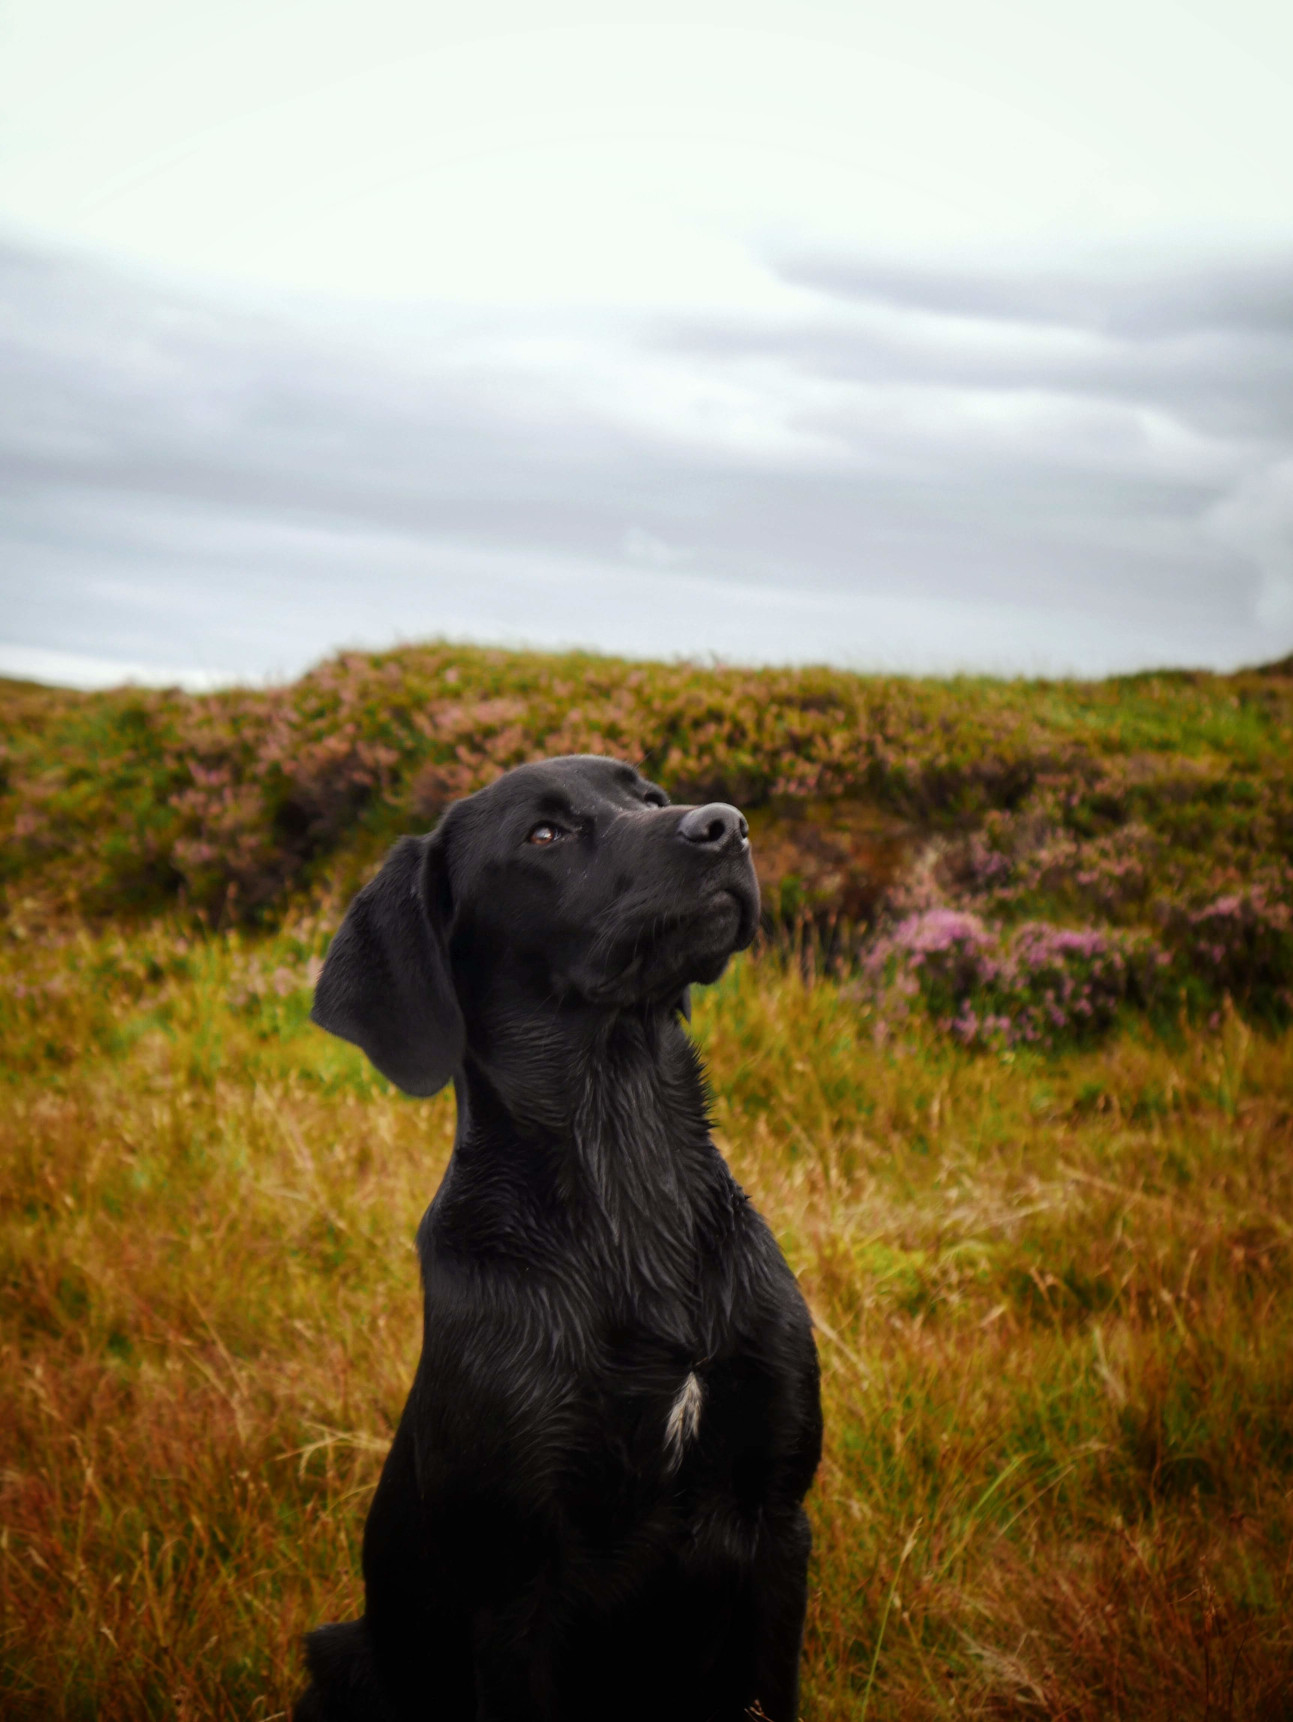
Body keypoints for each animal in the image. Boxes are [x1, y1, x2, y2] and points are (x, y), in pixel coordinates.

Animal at [296, 757, 819, 1722]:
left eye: (650, 799)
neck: (628, 1165)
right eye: (544, 835)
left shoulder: (776, 1521)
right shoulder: (517, 1596)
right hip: (341, 1657)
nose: (727, 825)